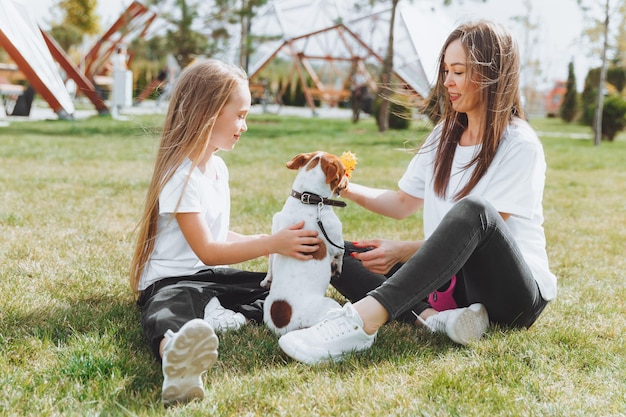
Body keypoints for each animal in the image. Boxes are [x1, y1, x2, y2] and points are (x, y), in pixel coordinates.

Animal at [258, 151, 346, 336]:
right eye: (343, 171)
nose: (348, 184)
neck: (308, 198)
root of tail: (284, 324)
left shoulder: (275, 236)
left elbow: (270, 264)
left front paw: (267, 280)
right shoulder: (336, 241)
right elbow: (341, 254)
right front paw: (336, 269)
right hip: (329, 305)